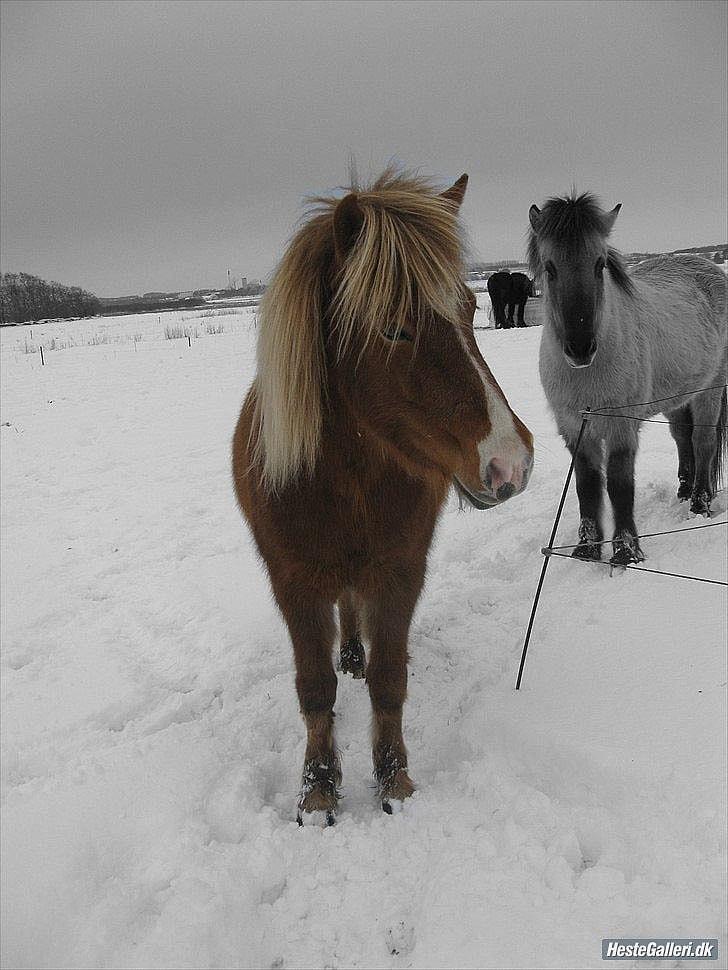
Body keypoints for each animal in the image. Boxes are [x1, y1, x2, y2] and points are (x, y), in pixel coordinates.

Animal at [235, 170, 536, 820]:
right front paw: (319, 789)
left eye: (470, 308)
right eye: (394, 327)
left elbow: (390, 679)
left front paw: (393, 780)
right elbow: (315, 689)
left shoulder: (401, 574)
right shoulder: (294, 584)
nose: (511, 463)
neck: (342, 481)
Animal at [528, 192, 728, 564]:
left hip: (710, 389)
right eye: (549, 268)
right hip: (677, 396)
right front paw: (587, 549)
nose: (580, 347)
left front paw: (625, 551)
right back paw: (684, 491)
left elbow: (620, 485)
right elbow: (587, 485)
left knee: (703, 442)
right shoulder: (574, 428)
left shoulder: (622, 426)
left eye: (599, 264)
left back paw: (700, 504)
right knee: (683, 438)